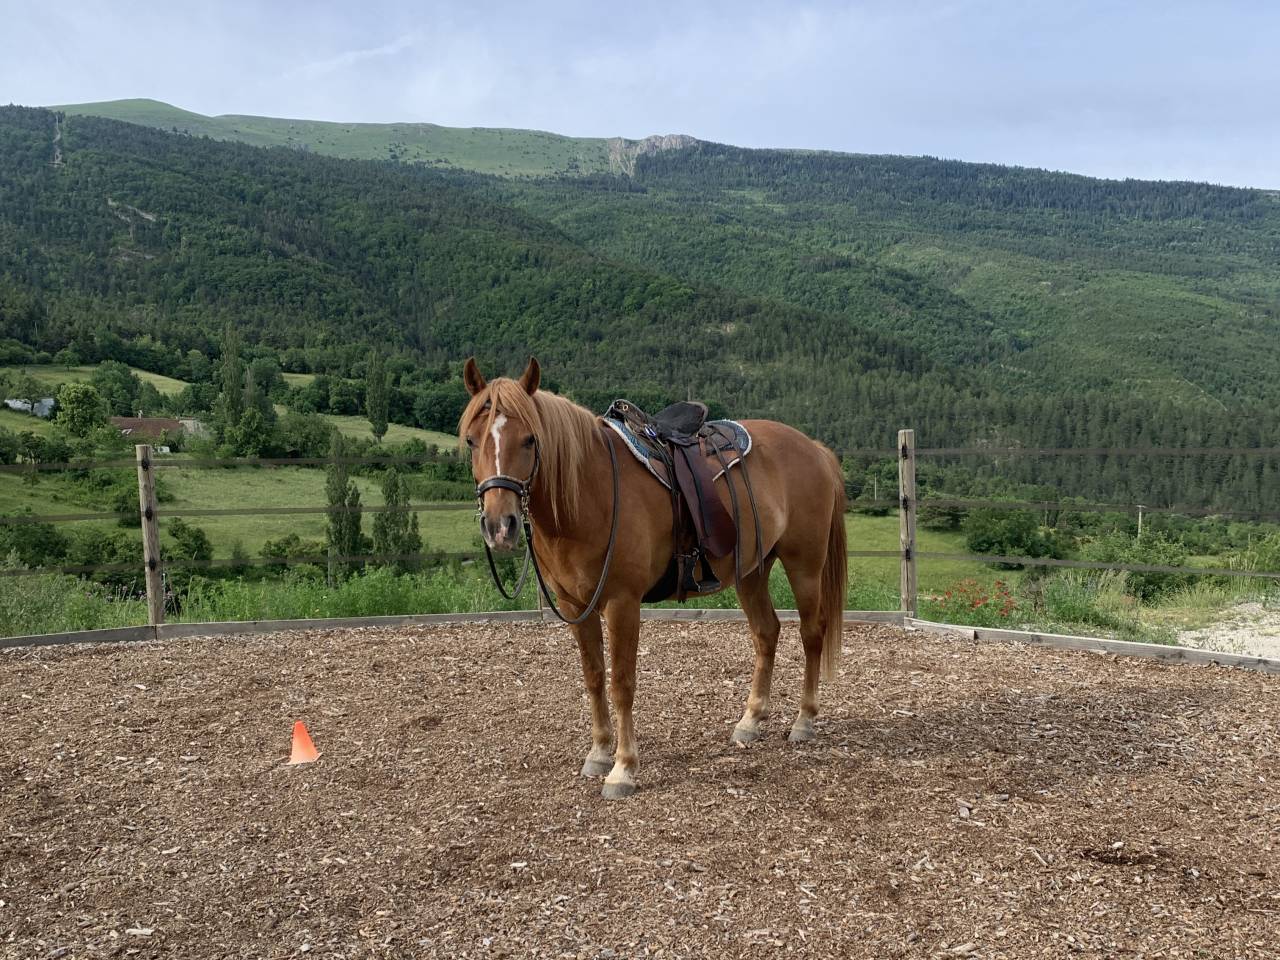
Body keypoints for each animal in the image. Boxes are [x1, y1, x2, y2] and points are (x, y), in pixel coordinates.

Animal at [460, 357, 847, 799]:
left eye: (529, 440)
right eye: (471, 441)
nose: (500, 526)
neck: (589, 492)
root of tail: (814, 448)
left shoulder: (622, 603)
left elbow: (622, 683)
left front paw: (623, 769)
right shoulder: (576, 605)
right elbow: (594, 678)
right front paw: (599, 753)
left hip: (805, 564)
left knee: (812, 633)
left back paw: (804, 720)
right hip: (752, 570)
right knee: (767, 633)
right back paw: (750, 722)